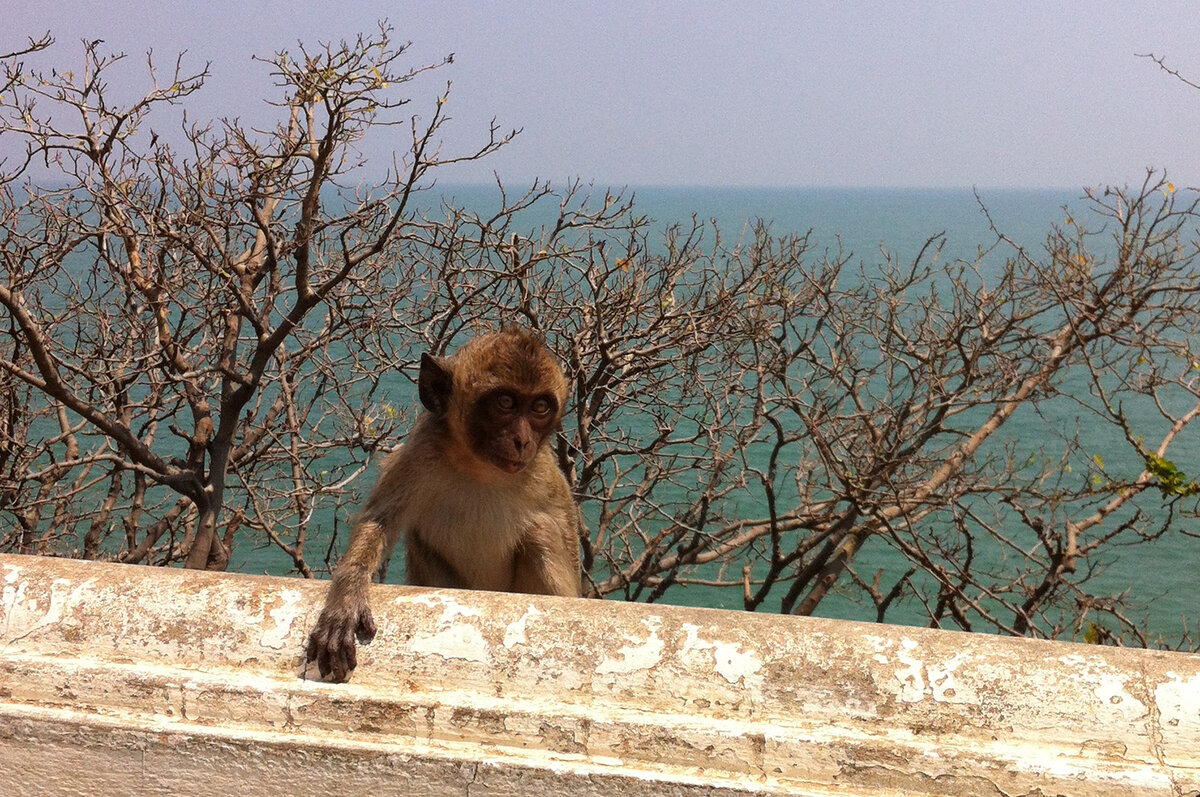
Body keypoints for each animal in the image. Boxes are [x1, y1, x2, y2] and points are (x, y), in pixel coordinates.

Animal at [302, 326, 578, 681]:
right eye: (505, 402)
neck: (479, 468)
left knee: (541, 530)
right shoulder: (422, 452)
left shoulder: (545, 473)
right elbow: (381, 521)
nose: (522, 440)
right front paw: (346, 599)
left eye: (540, 407)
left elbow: (564, 531)